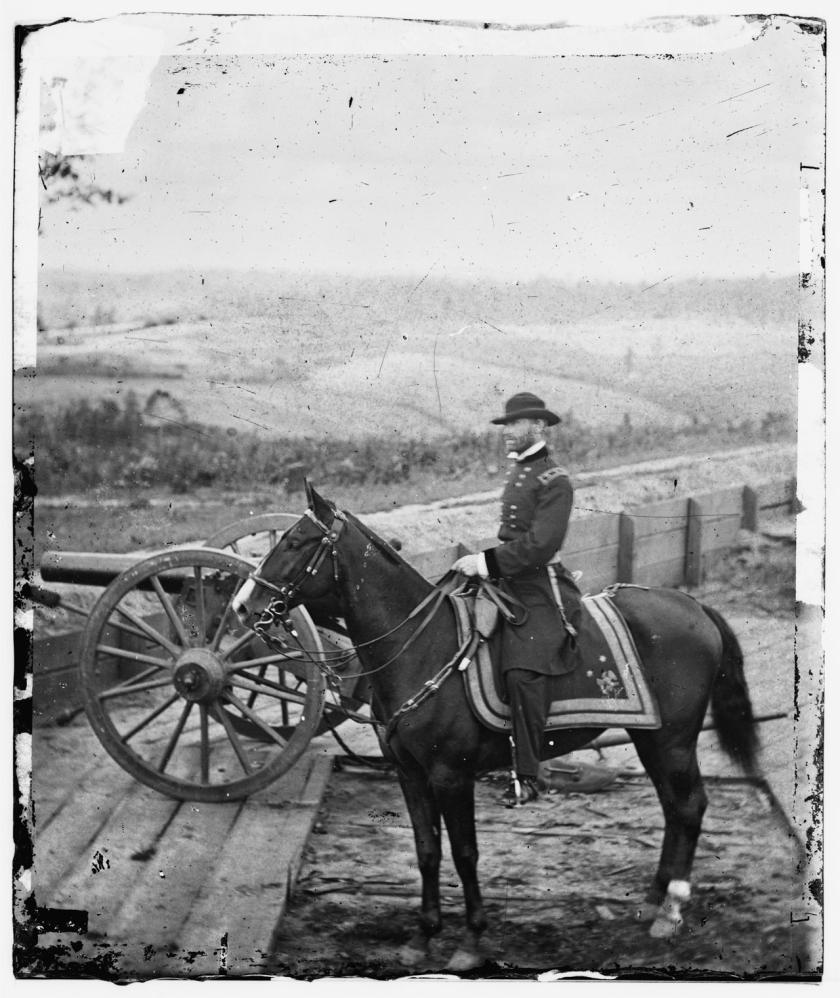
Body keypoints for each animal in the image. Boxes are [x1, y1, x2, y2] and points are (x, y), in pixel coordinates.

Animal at [233, 488, 756, 972]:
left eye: (294, 542)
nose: (242, 604)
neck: (422, 646)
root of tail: (694, 606)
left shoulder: (451, 775)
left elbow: (465, 853)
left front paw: (470, 941)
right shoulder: (409, 773)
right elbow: (427, 850)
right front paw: (422, 937)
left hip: (673, 741)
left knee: (689, 805)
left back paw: (671, 910)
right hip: (651, 737)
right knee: (672, 809)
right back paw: (652, 902)